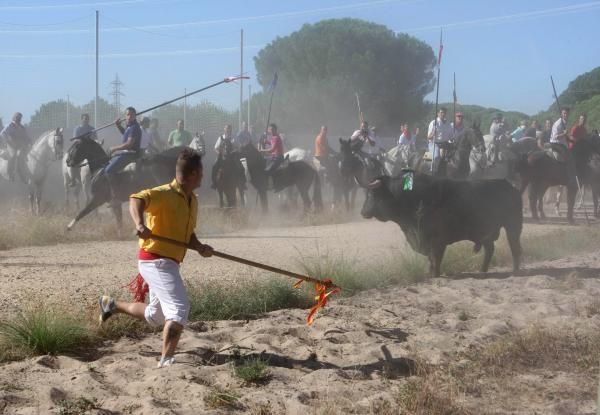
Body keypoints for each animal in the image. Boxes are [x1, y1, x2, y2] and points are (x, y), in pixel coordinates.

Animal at [360, 174, 520, 278]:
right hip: (485, 234)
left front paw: (435, 274)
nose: (362, 212)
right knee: (490, 249)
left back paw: (515, 271)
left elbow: (436, 258)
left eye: (371, 195)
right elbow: (432, 258)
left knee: (515, 247)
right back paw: (482, 271)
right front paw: (430, 273)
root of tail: (509, 185)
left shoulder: (438, 241)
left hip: (513, 226)